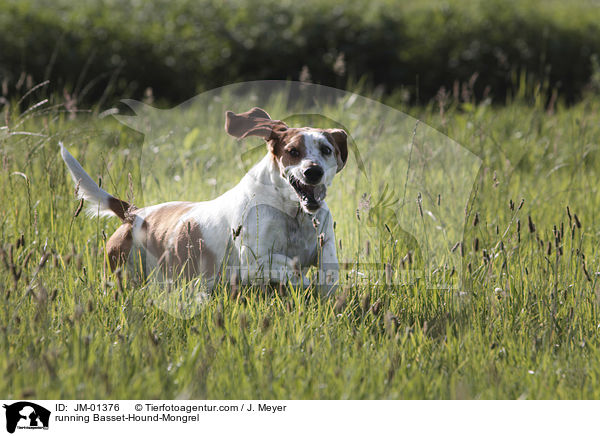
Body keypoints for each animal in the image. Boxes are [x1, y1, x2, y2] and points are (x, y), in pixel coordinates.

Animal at [60, 107, 346, 296]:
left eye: (326, 150)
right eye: (293, 151)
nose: (313, 171)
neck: (292, 212)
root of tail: (135, 214)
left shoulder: (326, 251)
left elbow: (325, 276)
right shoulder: (254, 262)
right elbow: (289, 266)